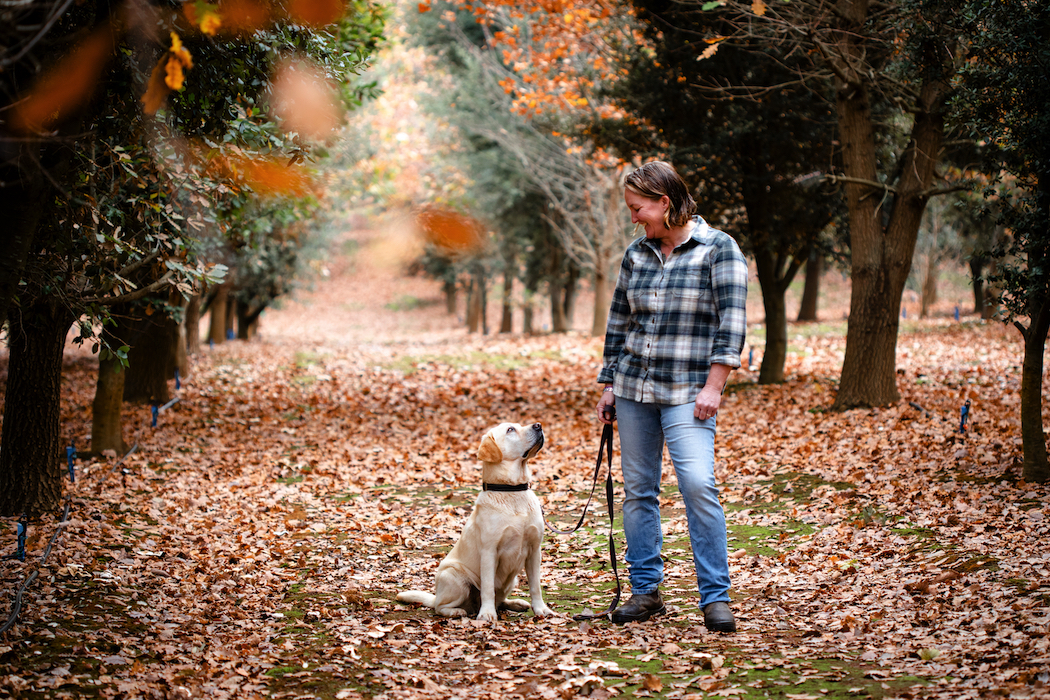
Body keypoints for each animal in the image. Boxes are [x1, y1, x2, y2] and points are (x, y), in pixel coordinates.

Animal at [394, 421, 558, 625]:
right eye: (510, 430)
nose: (538, 425)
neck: (511, 491)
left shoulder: (534, 550)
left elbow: (535, 586)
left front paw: (541, 609)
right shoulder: (489, 551)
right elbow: (487, 587)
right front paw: (487, 614)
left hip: (511, 580)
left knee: (500, 600)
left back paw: (516, 603)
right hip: (454, 577)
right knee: (440, 607)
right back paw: (457, 611)